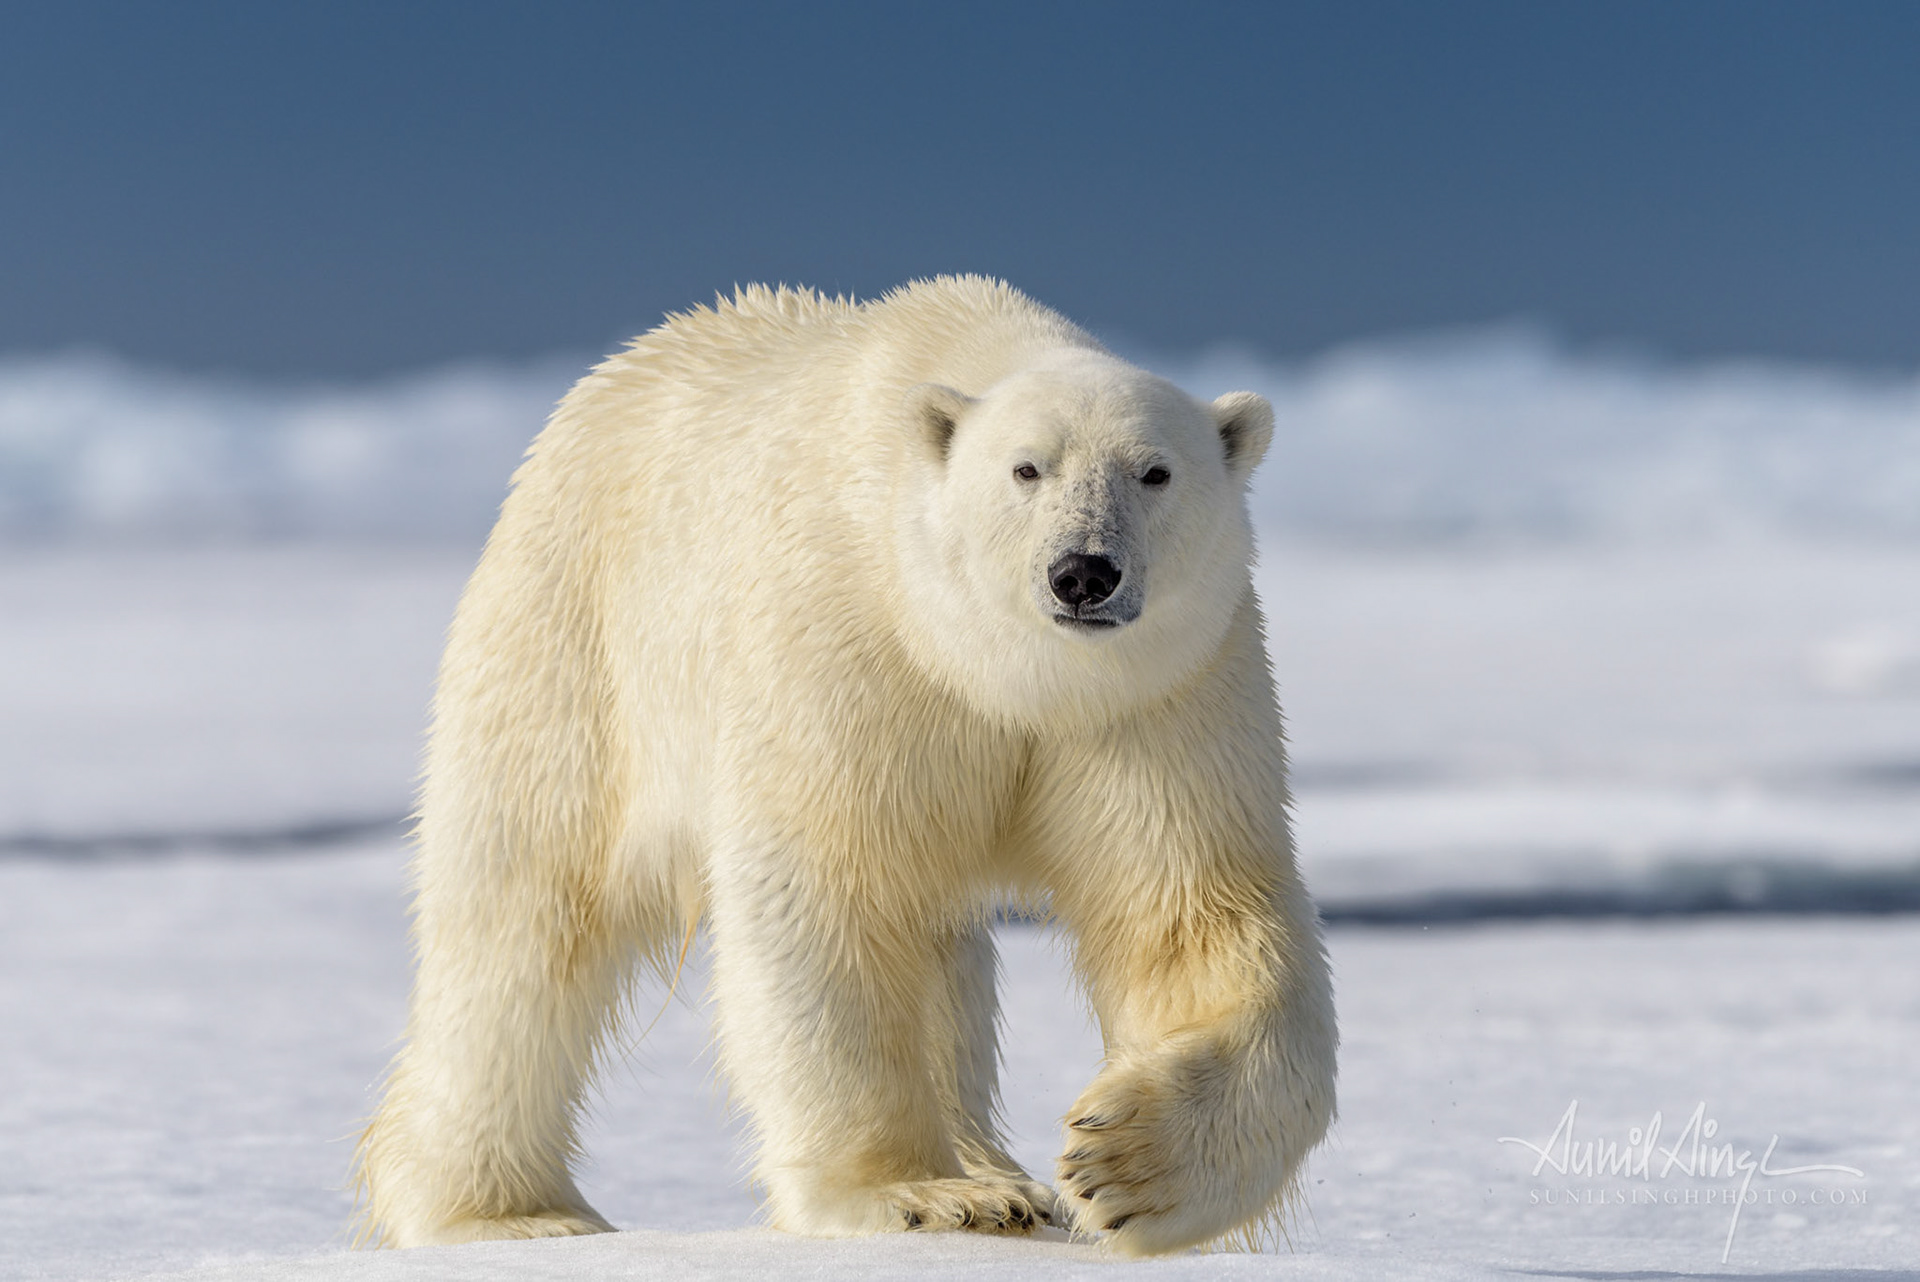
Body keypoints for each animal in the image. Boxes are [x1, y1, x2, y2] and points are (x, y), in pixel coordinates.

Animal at [352, 276, 1336, 1256]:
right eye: (1027, 469)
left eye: (1155, 470)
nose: (1083, 572)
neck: (997, 669)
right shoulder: (848, 642)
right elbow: (832, 891)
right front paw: (919, 1193)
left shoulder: (1160, 696)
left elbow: (1194, 910)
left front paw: (1121, 1166)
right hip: (572, 651)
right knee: (519, 924)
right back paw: (508, 1211)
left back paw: (1004, 1176)